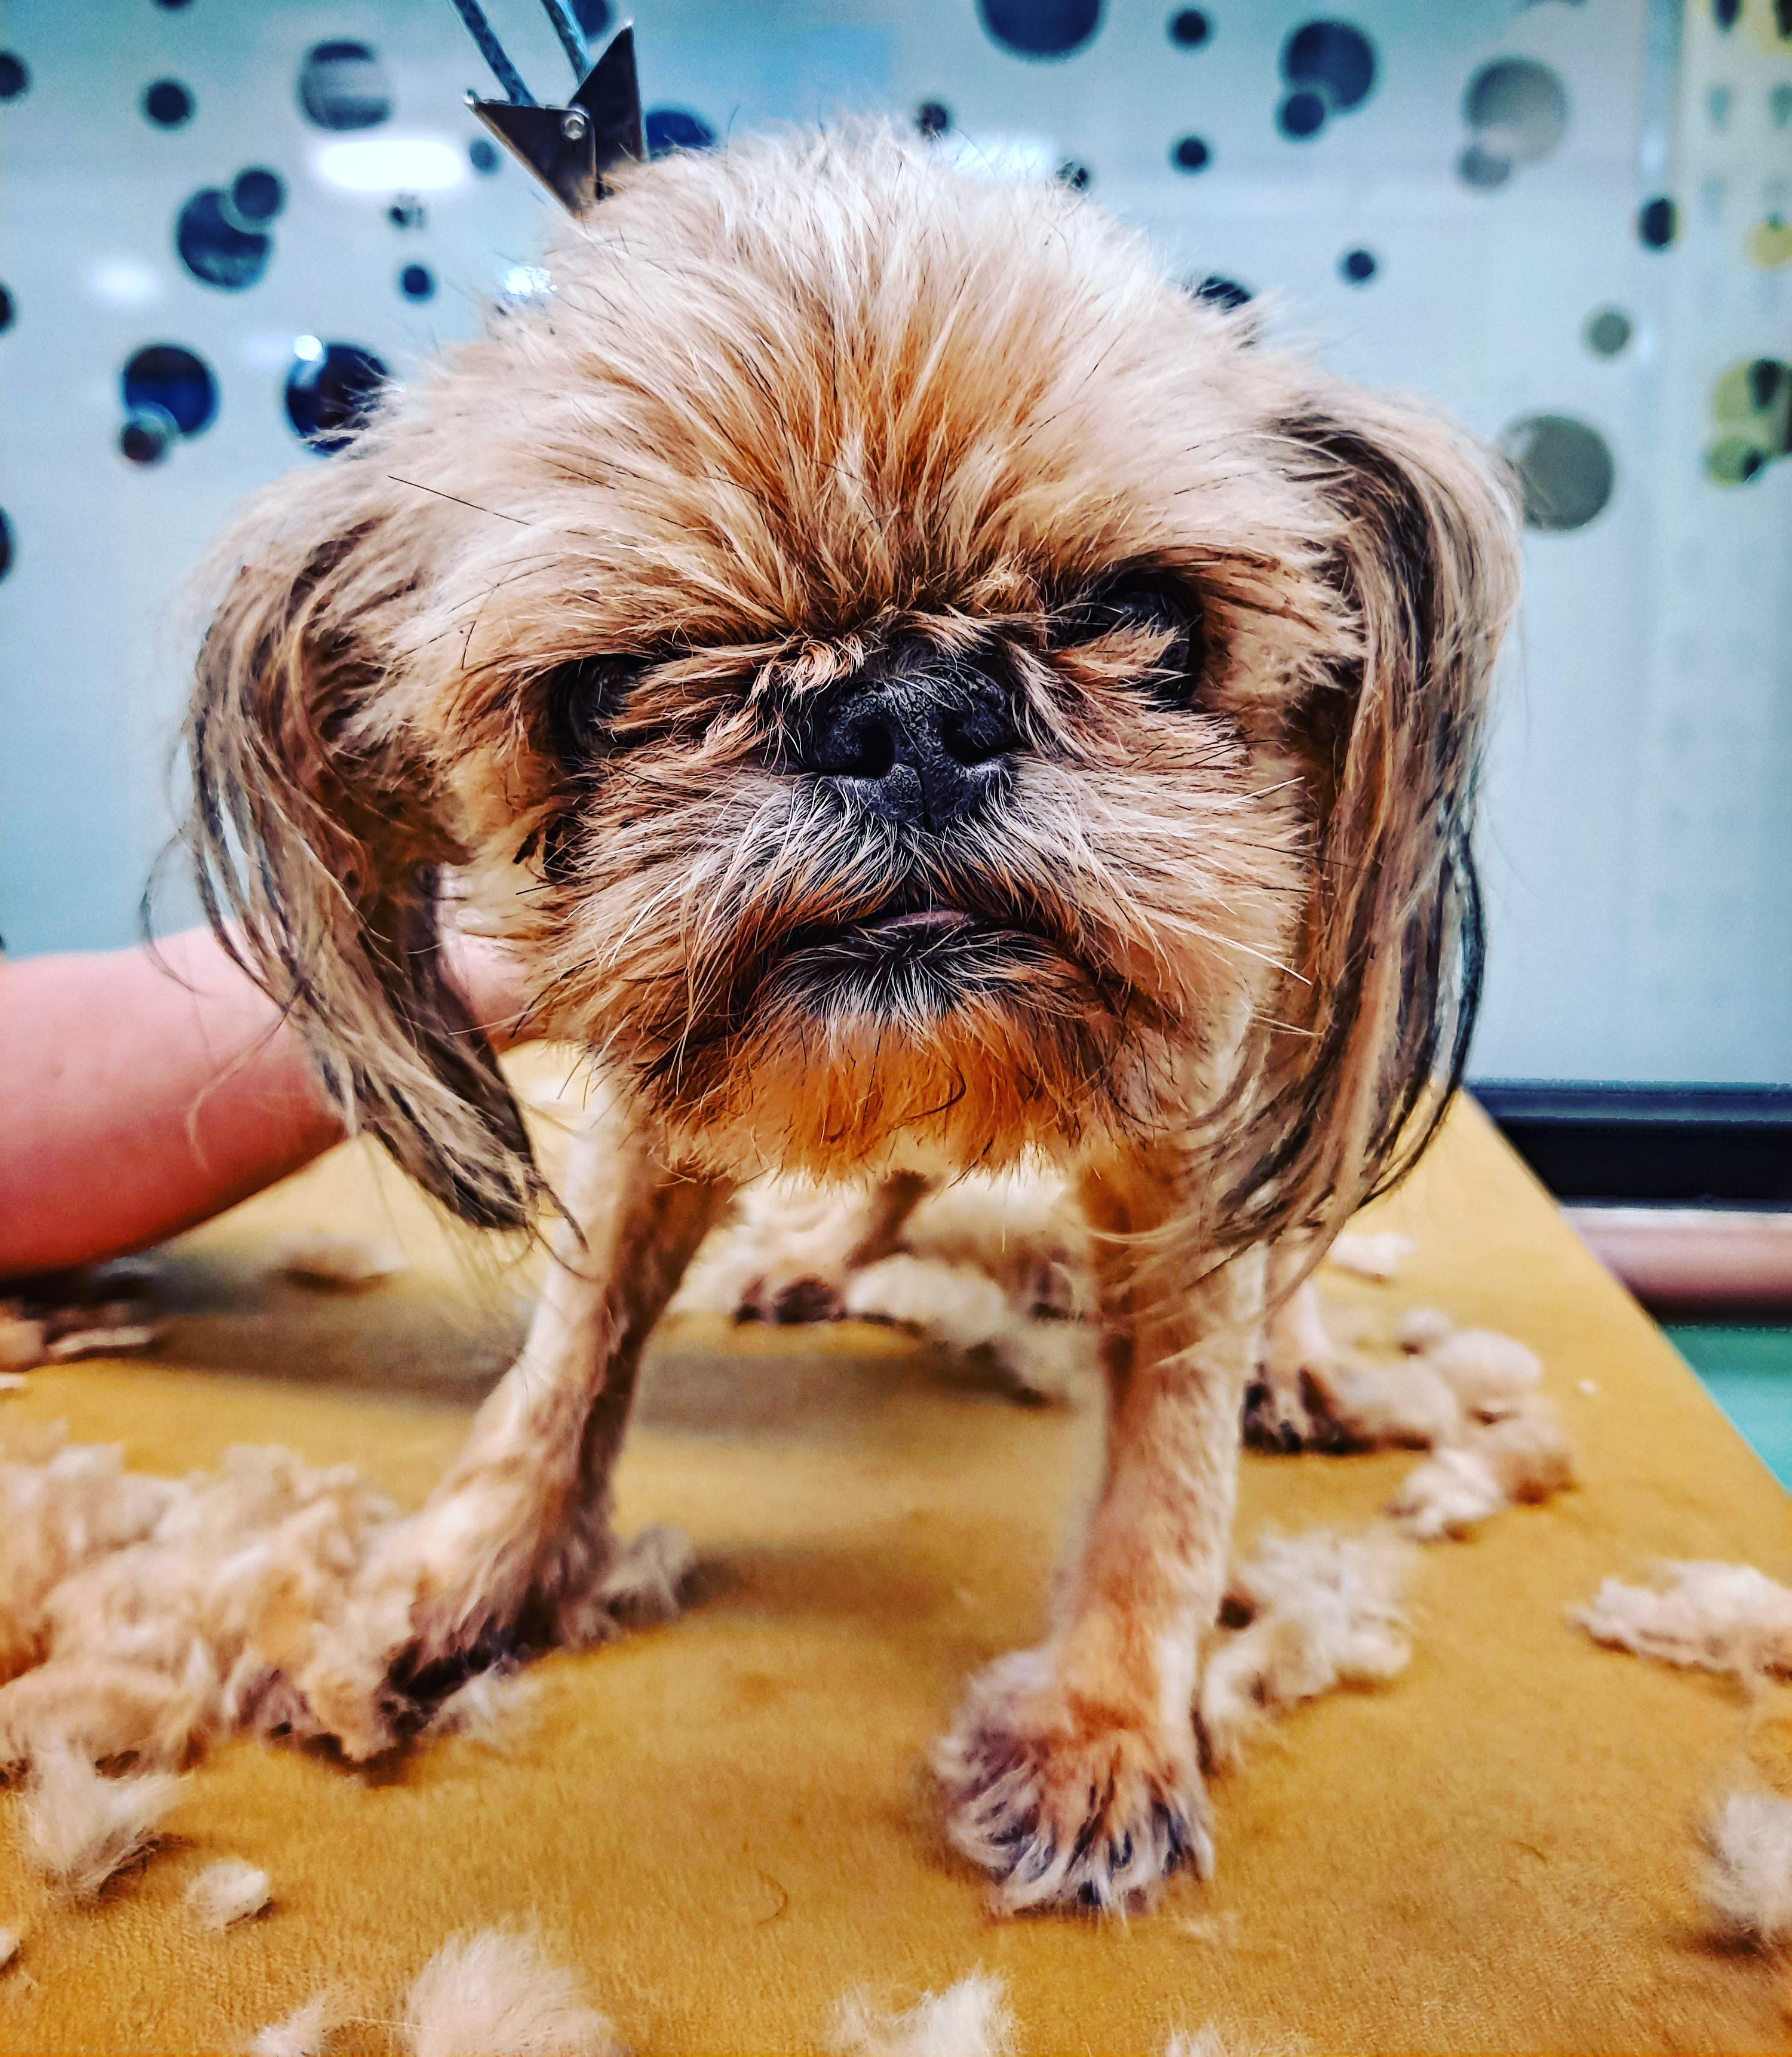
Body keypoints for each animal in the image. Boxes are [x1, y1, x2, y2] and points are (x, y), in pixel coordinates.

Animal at [183, 127, 1518, 1912]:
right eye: (606, 689)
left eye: (1144, 617)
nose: (907, 713)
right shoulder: (650, 1135)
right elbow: (565, 1360)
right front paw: (456, 1573)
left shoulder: (1189, 1166)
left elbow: (1166, 1472)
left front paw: (1107, 1723)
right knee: (898, 1163)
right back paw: (822, 1251)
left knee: (1281, 1234)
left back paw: (1291, 1364)